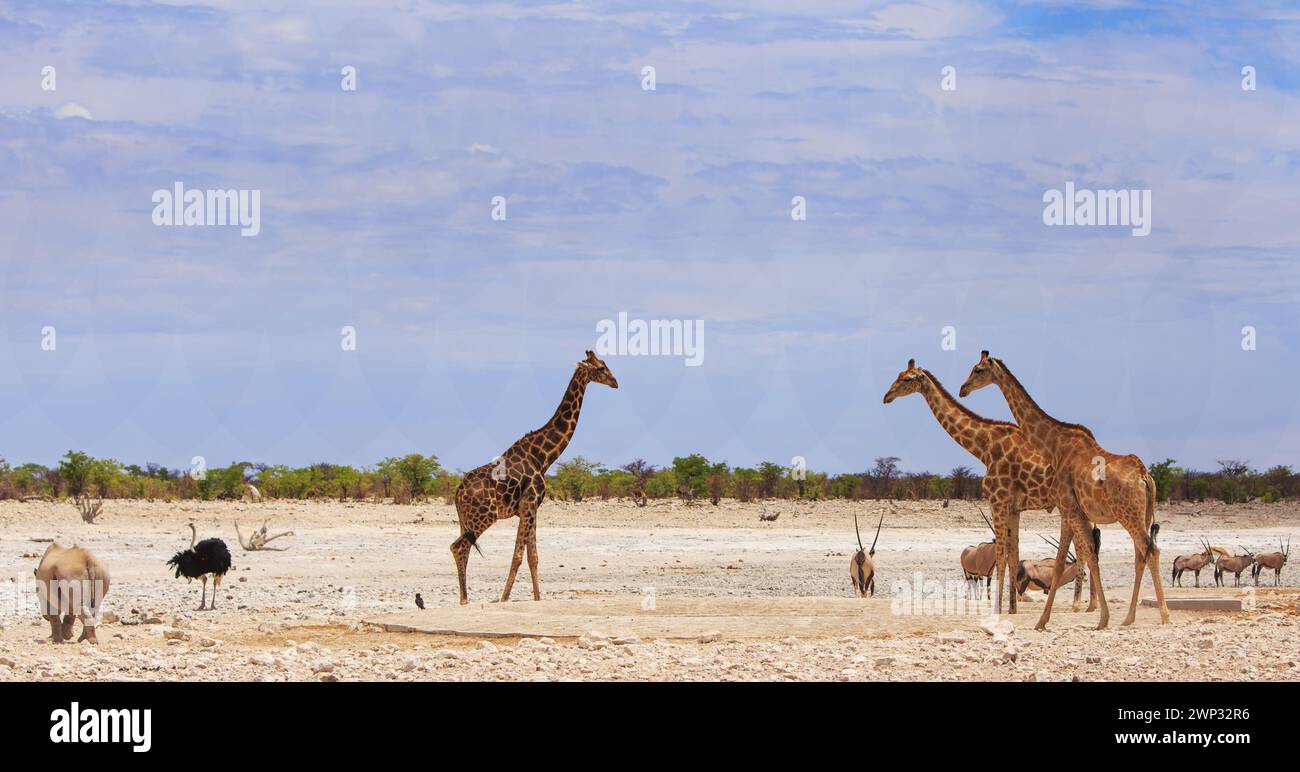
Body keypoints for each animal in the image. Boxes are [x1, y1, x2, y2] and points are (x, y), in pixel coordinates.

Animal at [452, 348, 618, 600]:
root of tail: (458, 492)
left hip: (466, 521)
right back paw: (464, 601)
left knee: (462, 547)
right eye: (600, 368)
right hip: (484, 516)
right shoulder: (529, 505)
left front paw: (537, 599)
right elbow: (518, 556)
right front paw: (503, 599)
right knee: (459, 547)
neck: (543, 457)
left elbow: (533, 557)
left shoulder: (531, 508)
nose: (615, 382)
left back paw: (464, 599)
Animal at [883, 358, 1097, 610]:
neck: (983, 448)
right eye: (898, 374)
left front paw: (999, 608)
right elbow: (1013, 555)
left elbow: (1002, 555)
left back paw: (1079, 605)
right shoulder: (1013, 507)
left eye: (907, 379)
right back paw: (1089, 605)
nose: (886, 396)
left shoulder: (997, 502)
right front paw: (1012, 608)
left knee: (1084, 547)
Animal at [961, 350, 1175, 629]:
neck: (1055, 445)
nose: (963, 389)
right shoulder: (1072, 511)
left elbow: (1070, 561)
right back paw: (1129, 617)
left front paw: (1058, 619)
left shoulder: (1068, 507)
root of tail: (1145, 477)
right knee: (1141, 555)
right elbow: (1075, 559)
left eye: (978, 370)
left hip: (1129, 515)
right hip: (1144, 514)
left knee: (1151, 550)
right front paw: (1082, 618)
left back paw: (1164, 615)